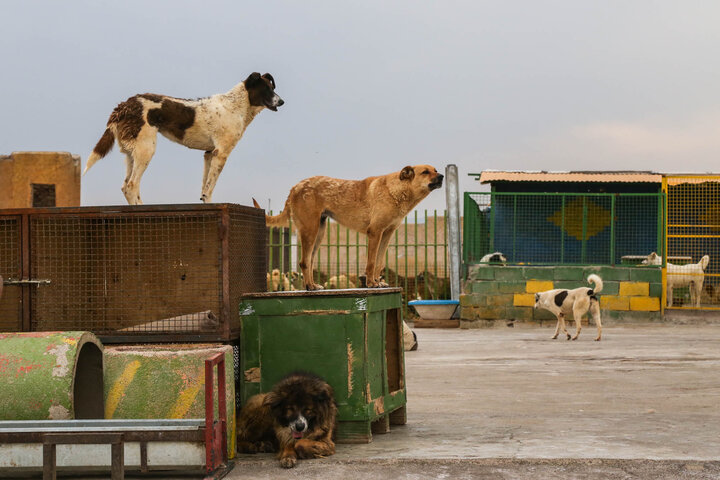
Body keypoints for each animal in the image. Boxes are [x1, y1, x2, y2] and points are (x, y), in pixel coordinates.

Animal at [85, 72, 284, 204]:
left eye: (273, 88)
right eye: (266, 89)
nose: (282, 102)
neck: (236, 105)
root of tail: (124, 106)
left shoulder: (209, 153)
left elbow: (205, 189)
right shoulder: (221, 153)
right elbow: (210, 187)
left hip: (131, 153)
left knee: (126, 186)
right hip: (145, 150)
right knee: (132, 185)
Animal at [253, 166, 444, 288]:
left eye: (435, 169)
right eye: (425, 172)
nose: (442, 176)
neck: (396, 190)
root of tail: (295, 187)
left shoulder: (387, 234)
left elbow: (379, 262)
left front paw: (378, 282)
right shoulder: (375, 233)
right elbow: (371, 262)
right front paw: (371, 283)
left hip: (319, 232)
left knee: (309, 261)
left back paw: (313, 285)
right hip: (310, 231)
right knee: (304, 261)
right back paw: (310, 287)